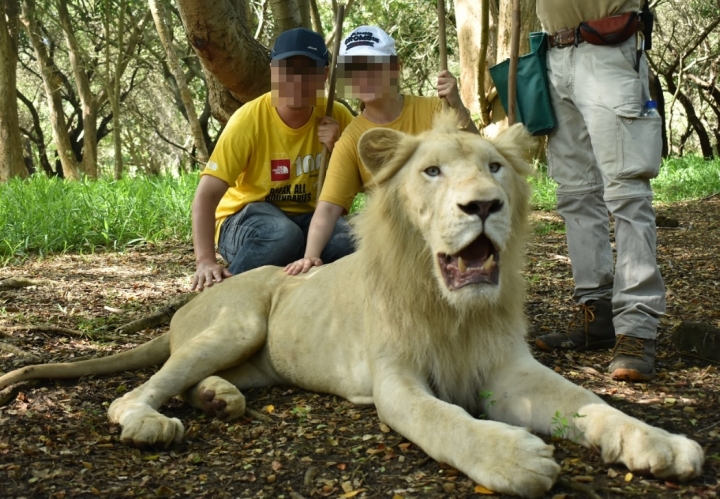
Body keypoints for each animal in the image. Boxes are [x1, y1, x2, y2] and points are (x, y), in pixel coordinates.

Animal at [1, 114, 704, 499]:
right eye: (432, 173)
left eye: (496, 168)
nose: (483, 205)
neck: (449, 306)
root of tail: (183, 305)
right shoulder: (396, 380)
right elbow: (444, 421)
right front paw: (512, 457)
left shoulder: (507, 369)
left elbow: (587, 402)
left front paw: (660, 443)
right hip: (238, 321)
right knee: (132, 394)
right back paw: (154, 421)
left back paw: (220, 399)